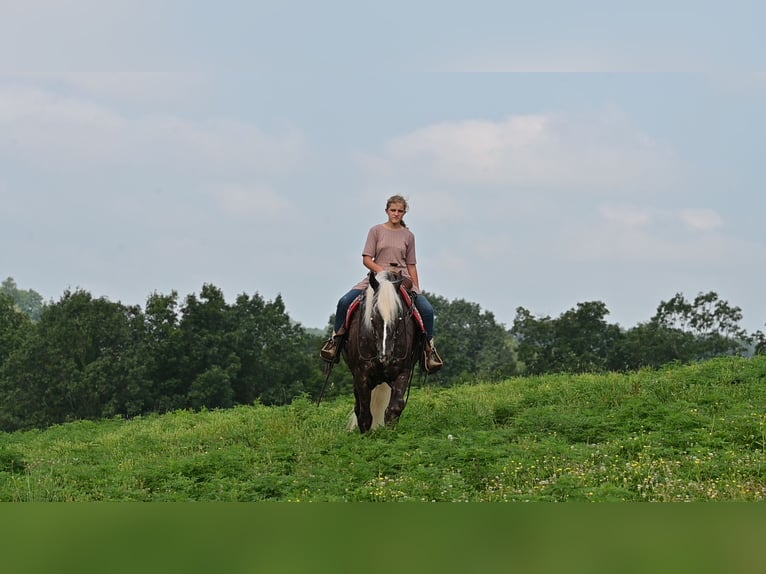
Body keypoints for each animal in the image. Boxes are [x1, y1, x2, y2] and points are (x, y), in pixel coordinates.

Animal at [342, 270, 422, 433]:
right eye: (374, 314)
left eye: (399, 315)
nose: (386, 355)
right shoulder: (361, 374)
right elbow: (364, 414)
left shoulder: (403, 371)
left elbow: (394, 408)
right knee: (358, 407)